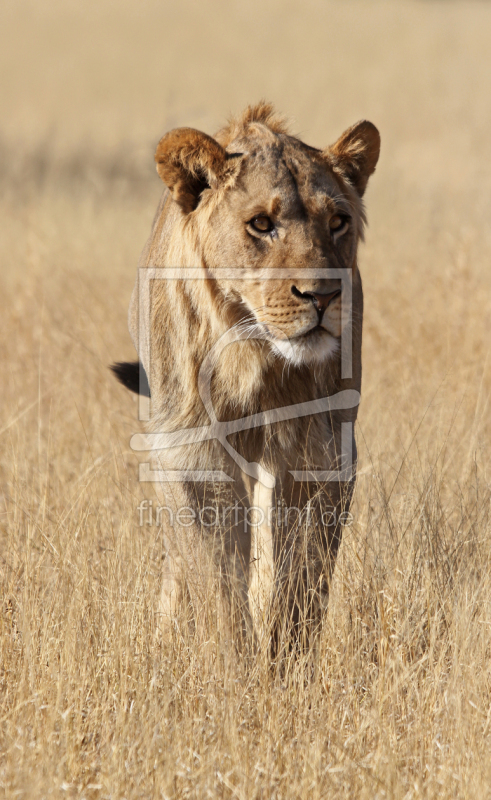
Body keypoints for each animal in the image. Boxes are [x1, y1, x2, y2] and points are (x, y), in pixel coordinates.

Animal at [112, 101, 380, 656]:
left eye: (338, 222)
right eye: (261, 224)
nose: (322, 296)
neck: (253, 353)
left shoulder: (318, 447)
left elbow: (301, 577)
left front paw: (287, 664)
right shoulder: (189, 448)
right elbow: (215, 576)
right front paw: (235, 662)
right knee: (177, 561)